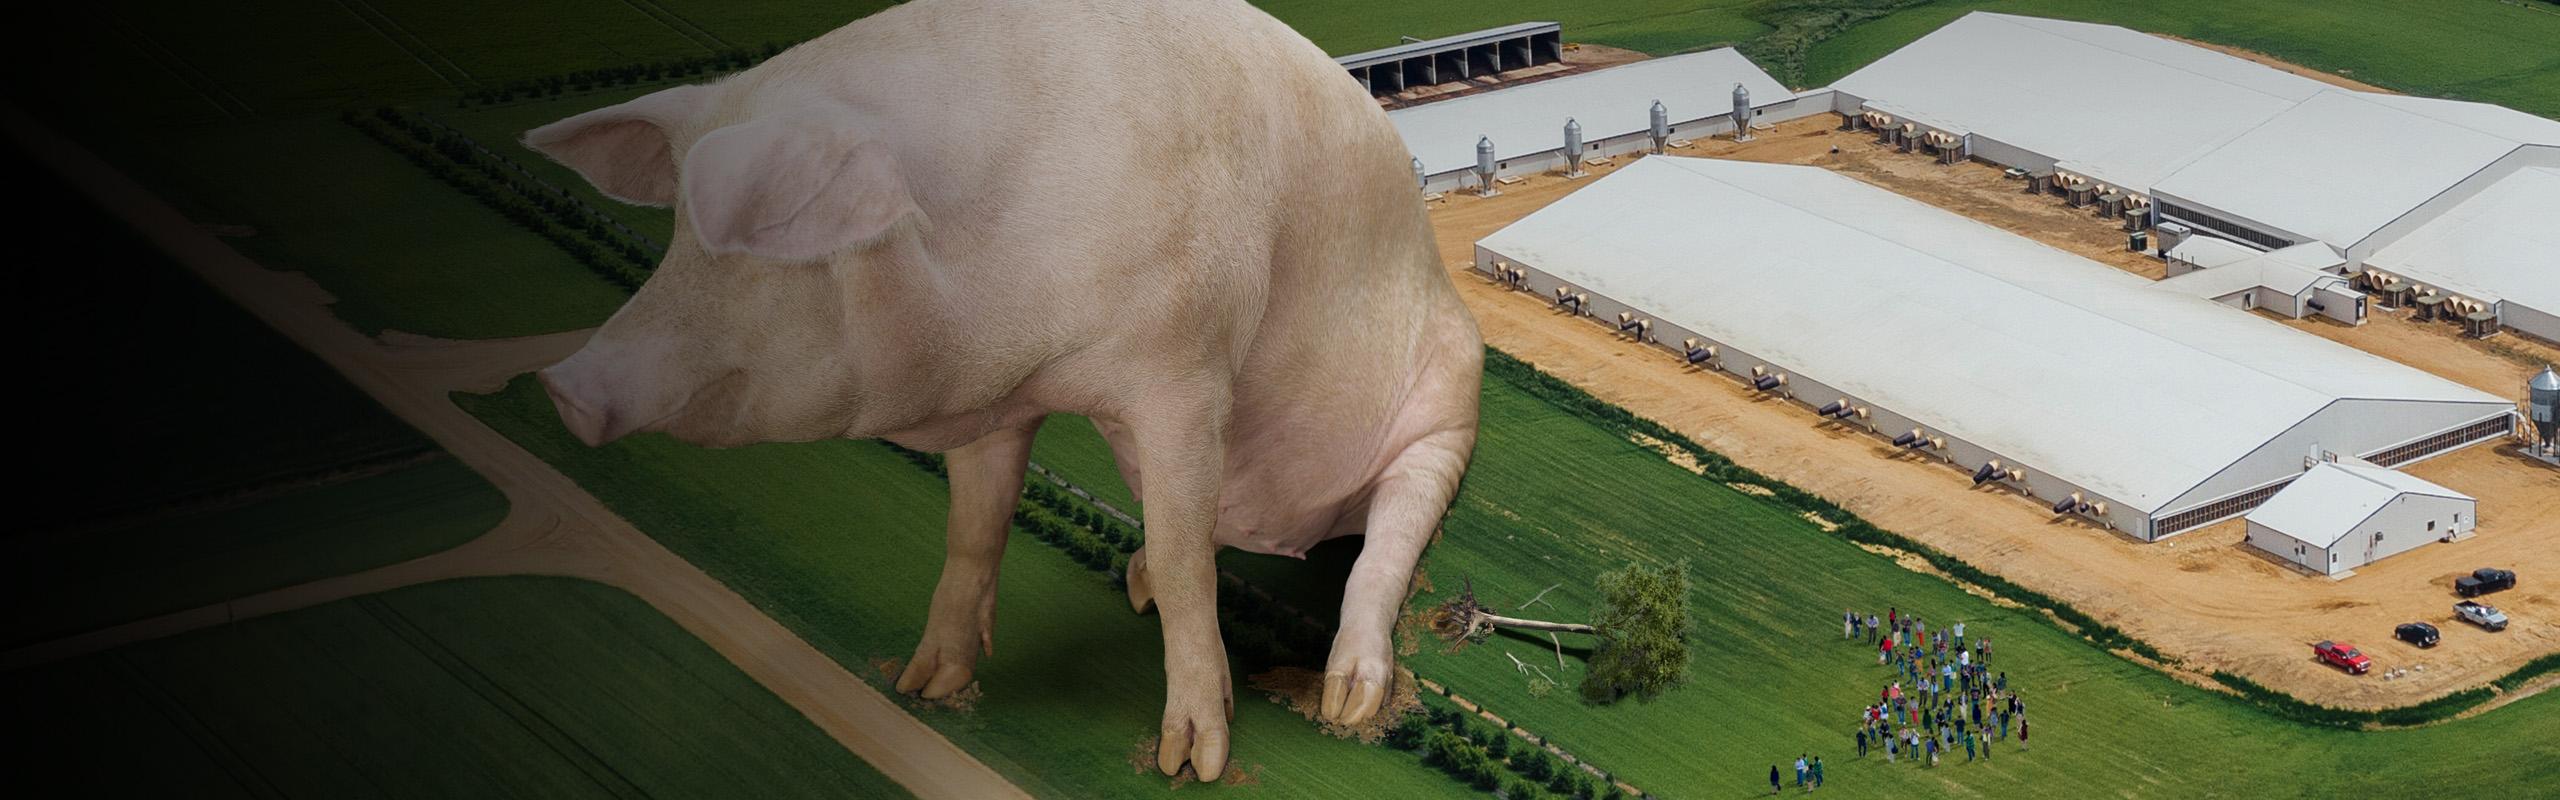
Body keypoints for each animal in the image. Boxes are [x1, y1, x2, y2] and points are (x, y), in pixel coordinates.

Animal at [523, 0, 1478, 779]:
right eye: (679, 235)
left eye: (772, 230)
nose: (564, 383)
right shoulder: (1000, 394)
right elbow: (976, 529)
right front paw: (924, 689)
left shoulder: (1186, 374)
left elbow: (1185, 568)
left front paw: (1191, 764)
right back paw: (1132, 581)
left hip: (1449, 407)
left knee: (1385, 541)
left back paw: (1348, 702)